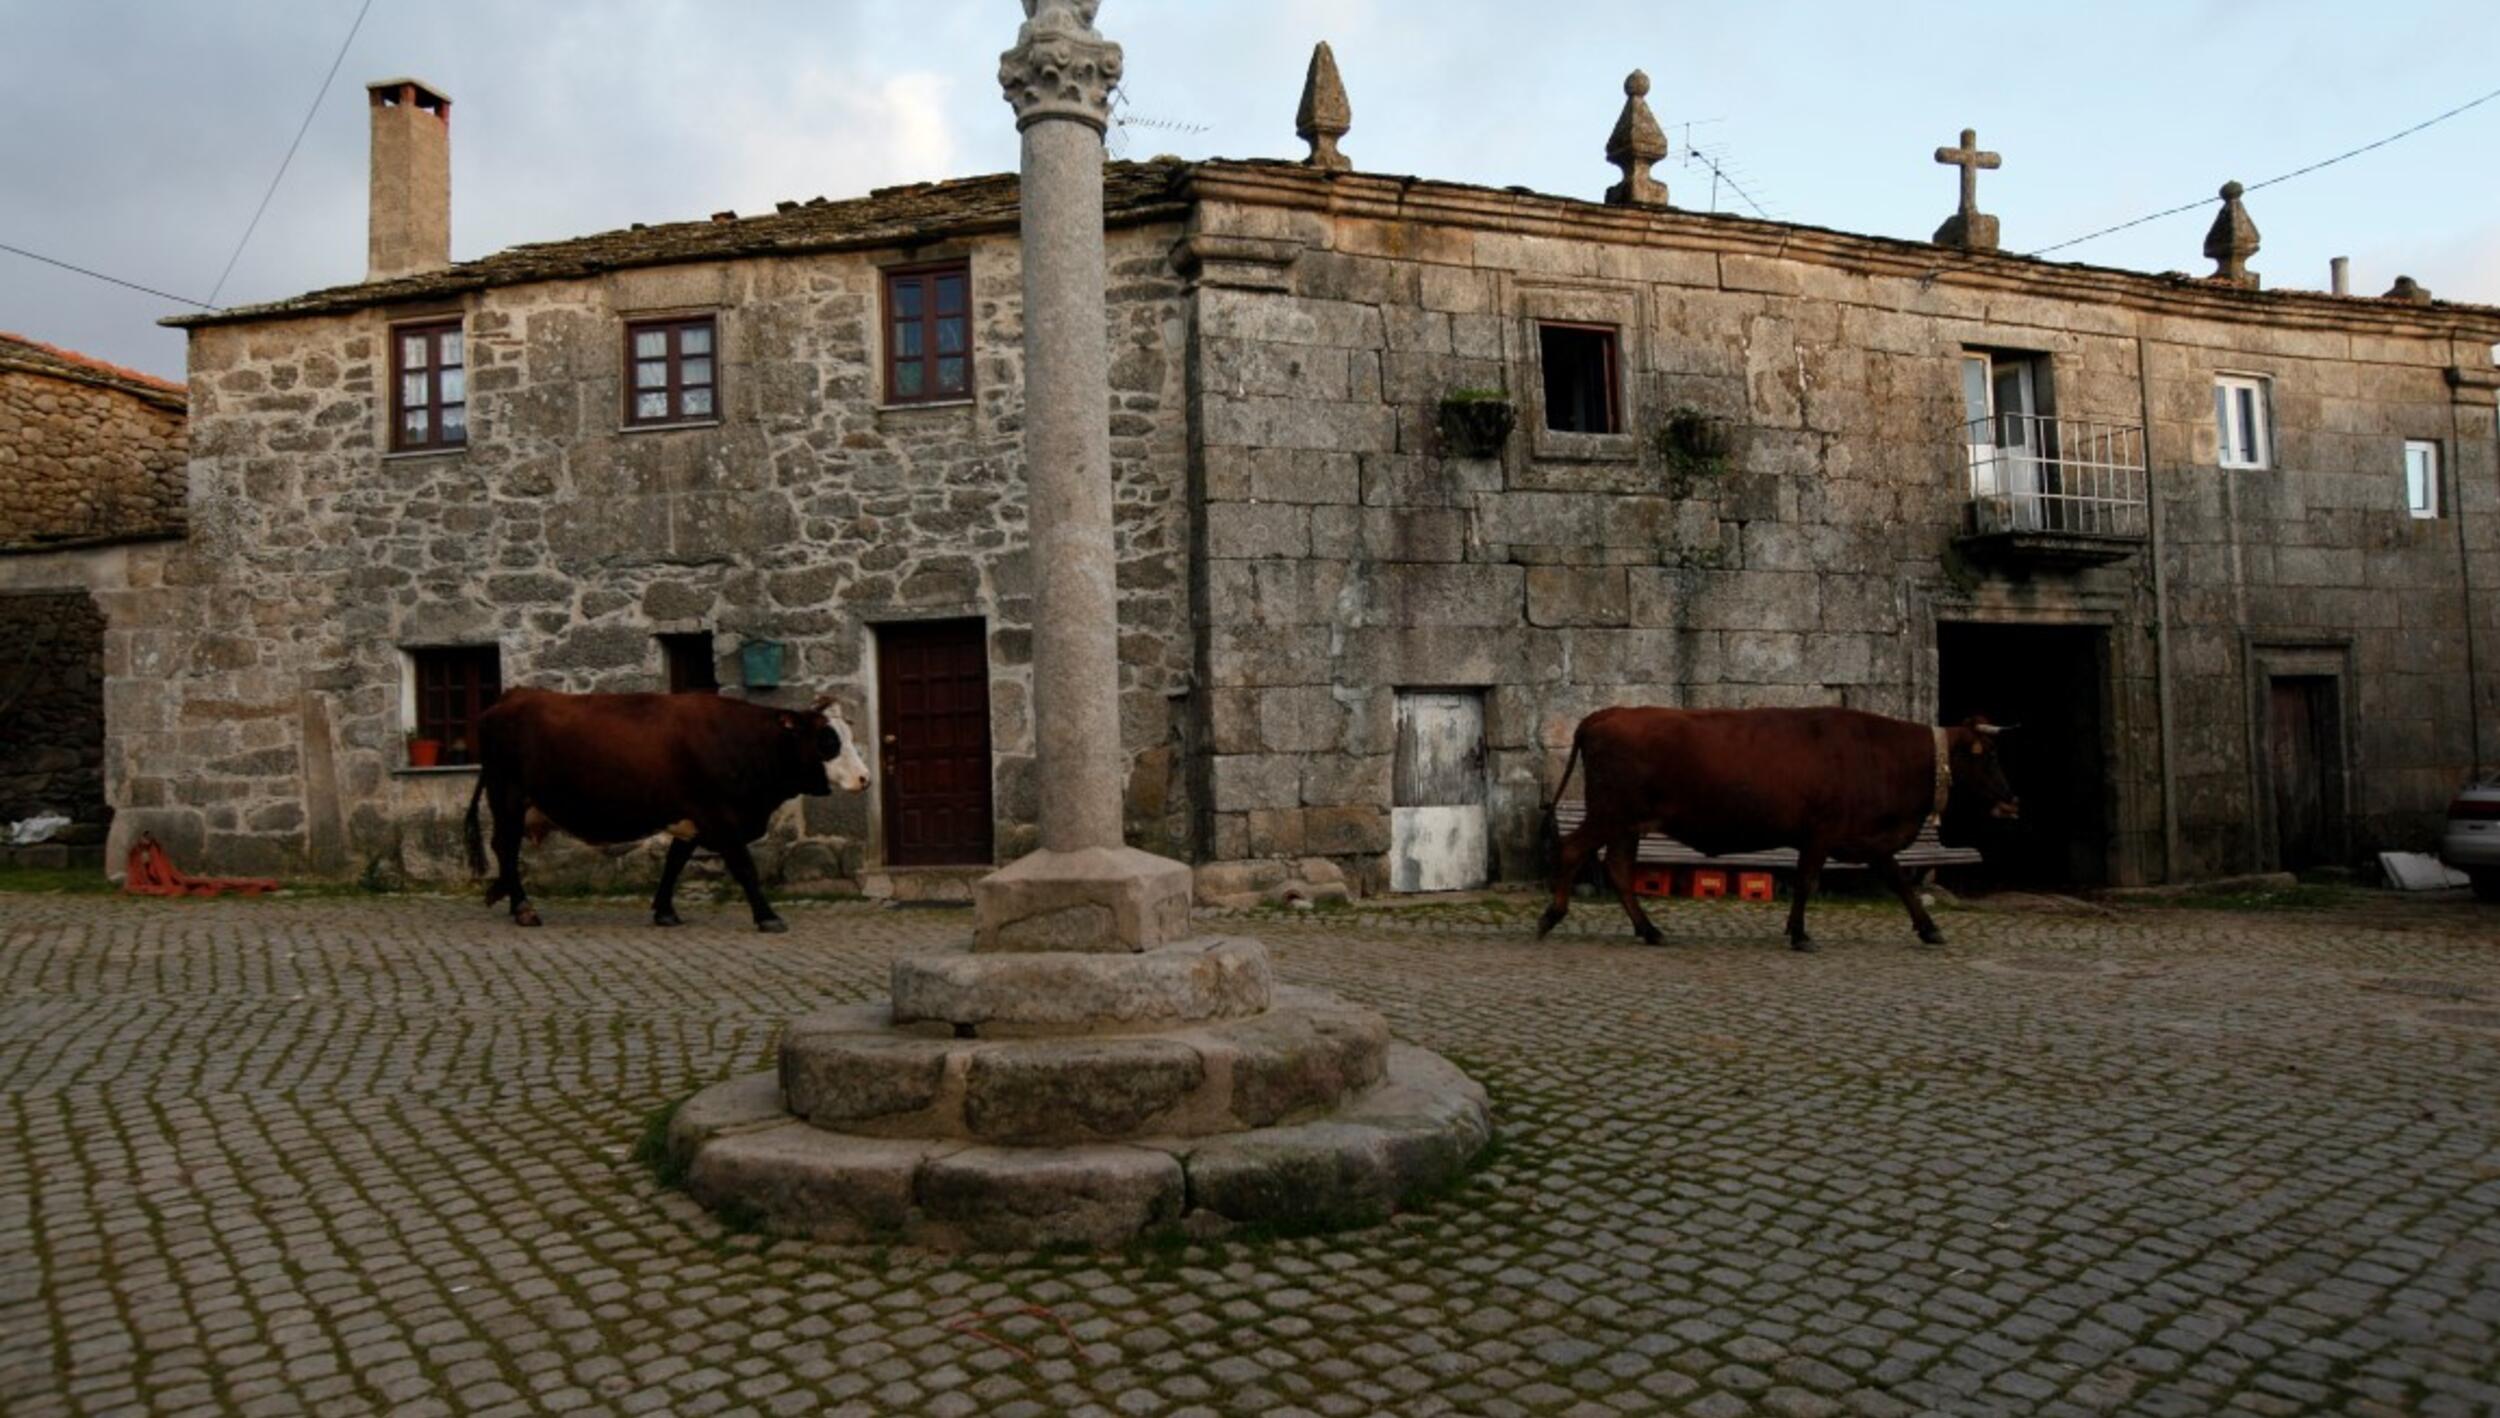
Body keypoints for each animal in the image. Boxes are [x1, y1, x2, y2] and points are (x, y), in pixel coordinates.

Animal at [465, 690, 875, 930]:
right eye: (827, 740)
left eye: (848, 735)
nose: (864, 777)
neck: (744, 742)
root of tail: (510, 697)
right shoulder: (720, 817)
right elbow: (745, 869)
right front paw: (768, 916)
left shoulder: (692, 817)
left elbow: (674, 863)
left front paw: (664, 910)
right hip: (508, 798)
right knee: (507, 848)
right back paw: (522, 907)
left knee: (505, 849)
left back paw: (506, 899)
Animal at [1530, 705, 2020, 955]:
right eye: (1990, 756)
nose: (2013, 801)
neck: (1880, 754)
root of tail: (1604, 714)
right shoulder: (1822, 833)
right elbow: (1806, 882)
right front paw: (1800, 934)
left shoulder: (1867, 840)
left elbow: (1900, 882)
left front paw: (1928, 928)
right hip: (1610, 814)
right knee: (1573, 850)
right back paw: (1552, 916)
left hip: (1626, 823)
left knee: (1617, 868)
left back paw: (1649, 929)